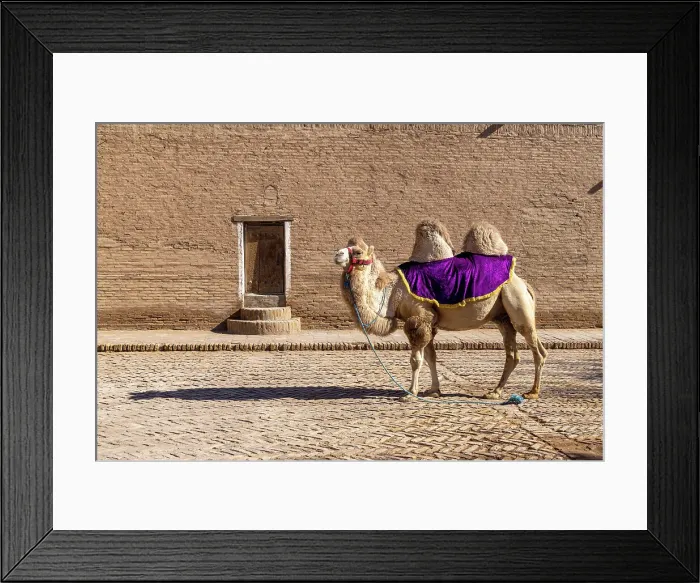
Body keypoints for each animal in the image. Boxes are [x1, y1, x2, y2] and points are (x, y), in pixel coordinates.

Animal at [334, 230, 547, 402]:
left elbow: (416, 360)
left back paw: (532, 392)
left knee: (537, 350)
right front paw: (434, 390)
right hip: (503, 317)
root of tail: (524, 284)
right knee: (512, 354)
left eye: (358, 252)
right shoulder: (430, 322)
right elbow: (431, 357)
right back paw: (495, 392)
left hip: (517, 304)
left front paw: (410, 393)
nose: (337, 254)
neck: (393, 291)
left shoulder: (419, 319)